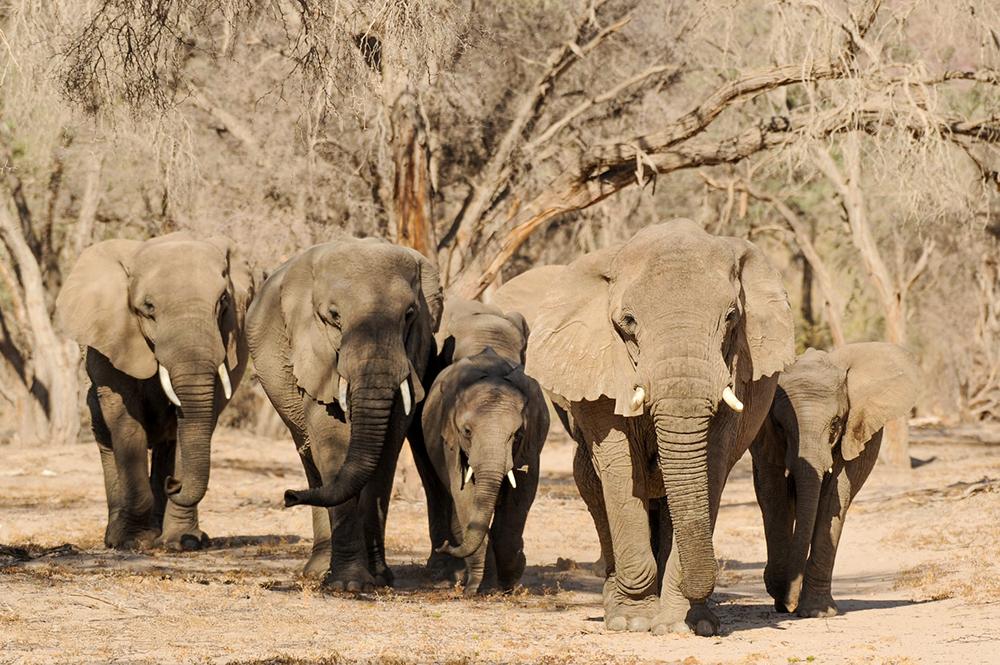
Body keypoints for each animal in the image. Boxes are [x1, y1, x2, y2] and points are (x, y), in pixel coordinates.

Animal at [55, 233, 256, 548]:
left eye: (222, 301)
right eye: (148, 307)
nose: (175, 484)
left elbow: (201, 418)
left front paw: (184, 542)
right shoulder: (114, 340)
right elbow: (126, 420)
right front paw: (134, 542)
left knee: (168, 443)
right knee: (107, 441)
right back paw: (117, 537)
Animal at [247, 236, 442, 588]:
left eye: (409, 314)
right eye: (334, 316)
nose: (288, 496)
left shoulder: (416, 352)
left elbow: (387, 450)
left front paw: (379, 578)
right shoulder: (312, 349)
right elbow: (331, 436)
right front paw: (349, 584)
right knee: (310, 456)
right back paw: (318, 570)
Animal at [420, 298, 552, 592]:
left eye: (517, 434)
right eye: (467, 432)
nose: (446, 546)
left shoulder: (533, 438)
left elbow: (521, 493)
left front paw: (511, 576)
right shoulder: (449, 434)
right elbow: (464, 494)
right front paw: (480, 588)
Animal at [488, 218, 792, 632]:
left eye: (731, 317)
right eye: (628, 322)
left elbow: (710, 465)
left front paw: (685, 624)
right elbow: (618, 466)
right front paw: (632, 622)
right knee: (592, 482)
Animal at [752, 342, 920, 616]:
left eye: (835, 424)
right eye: (780, 427)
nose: (789, 603)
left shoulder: (858, 429)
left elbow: (835, 494)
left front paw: (816, 612)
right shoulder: (762, 434)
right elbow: (772, 492)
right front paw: (779, 589)